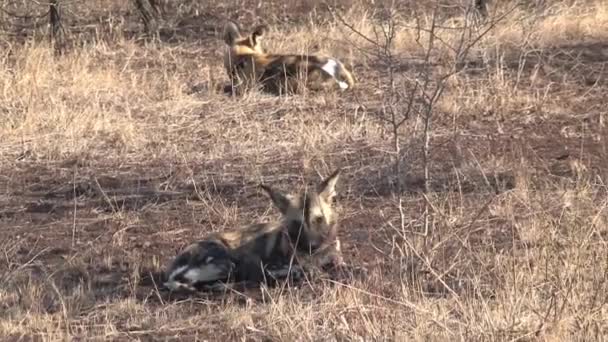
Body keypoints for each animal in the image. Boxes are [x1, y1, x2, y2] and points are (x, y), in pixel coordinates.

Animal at [162, 168, 344, 292]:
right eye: (296, 223)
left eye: (319, 219)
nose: (312, 246)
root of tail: (170, 274)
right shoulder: (270, 266)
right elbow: (304, 270)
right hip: (229, 261)